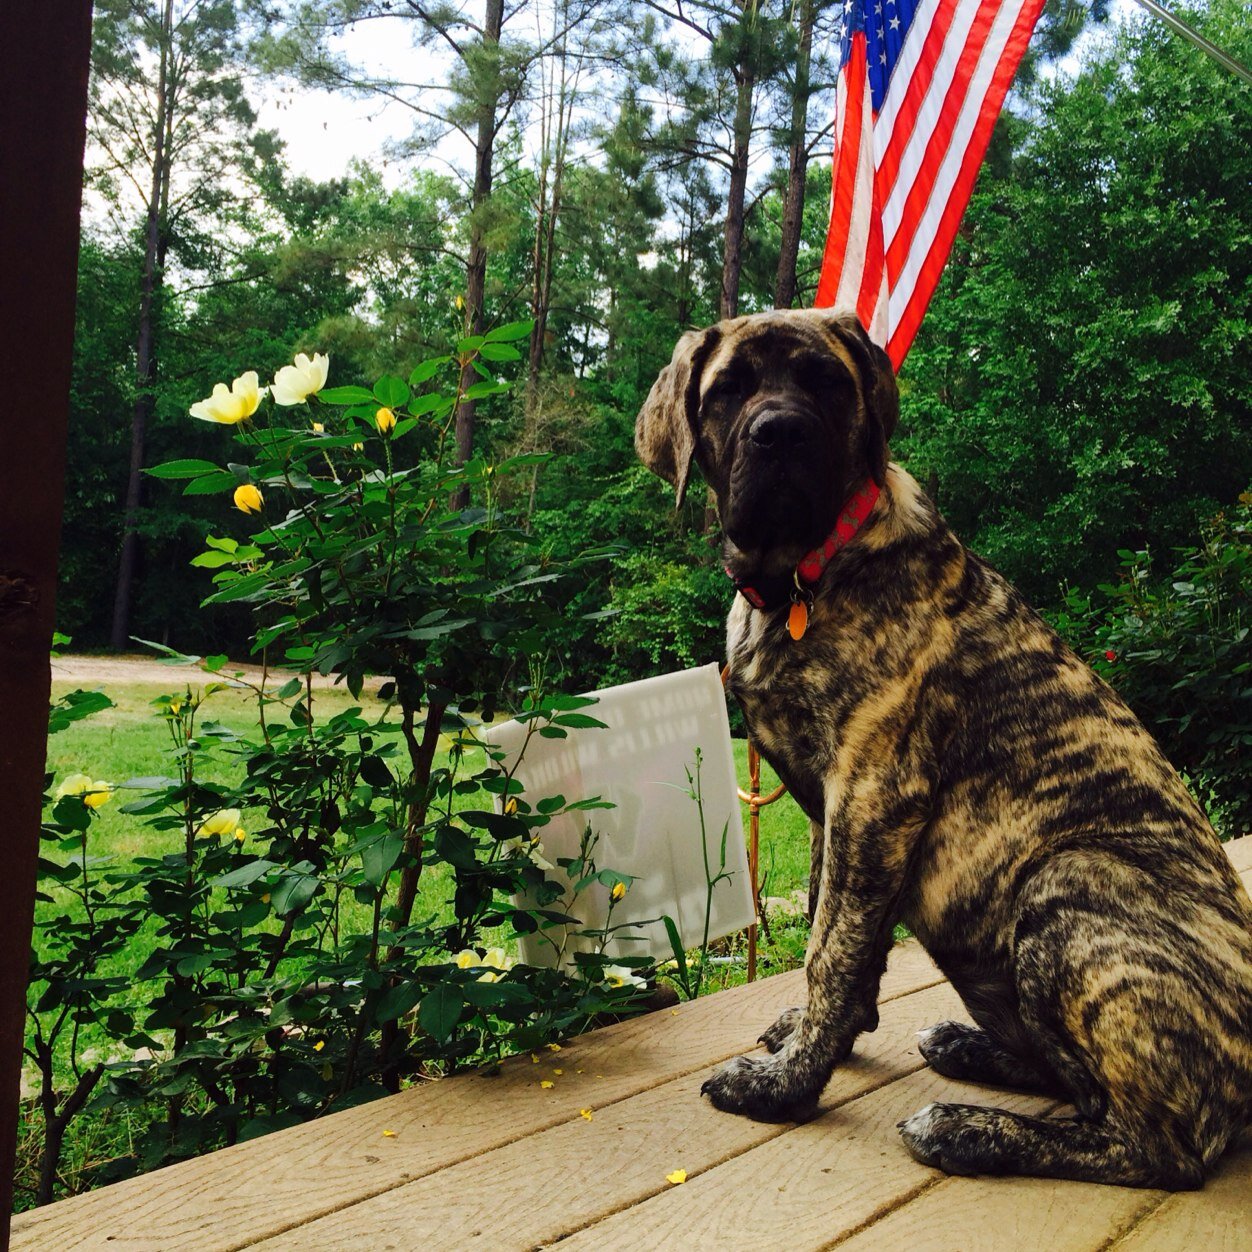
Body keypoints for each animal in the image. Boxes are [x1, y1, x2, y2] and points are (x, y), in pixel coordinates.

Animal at [636, 307, 1252, 1186]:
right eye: (729, 389)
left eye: (826, 382)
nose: (781, 432)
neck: (804, 575)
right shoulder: (831, 811)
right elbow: (834, 928)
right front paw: (809, 1036)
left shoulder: (873, 790)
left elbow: (830, 949)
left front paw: (786, 1084)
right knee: (1078, 1082)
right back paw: (969, 1049)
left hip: (1068, 883)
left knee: (1160, 1146)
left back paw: (965, 1129)